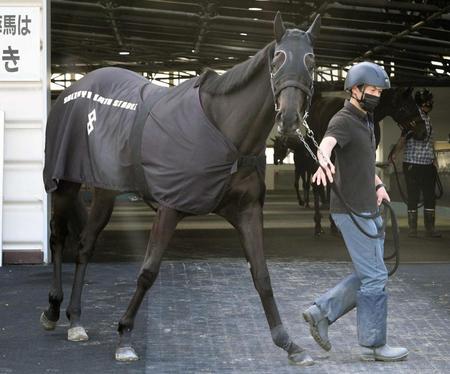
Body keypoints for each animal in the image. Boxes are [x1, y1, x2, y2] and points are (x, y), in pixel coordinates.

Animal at [39, 13, 320, 366]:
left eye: (311, 61)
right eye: (279, 58)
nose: (290, 119)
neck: (224, 130)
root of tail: (73, 87)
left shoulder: (247, 212)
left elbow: (262, 275)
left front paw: (289, 343)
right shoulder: (169, 208)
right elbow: (148, 272)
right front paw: (125, 335)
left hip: (104, 190)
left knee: (85, 245)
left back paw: (76, 319)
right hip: (66, 183)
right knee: (58, 237)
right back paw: (52, 309)